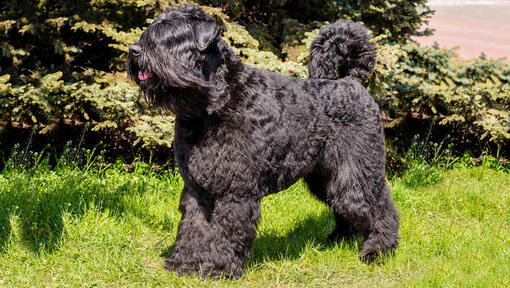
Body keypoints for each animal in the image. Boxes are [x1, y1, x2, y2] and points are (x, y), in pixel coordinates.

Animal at [126, 3, 398, 280]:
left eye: (173, 35)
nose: (134, 50)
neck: (213, 103)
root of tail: (352, 80)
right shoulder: (196, 187)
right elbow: (194, 227)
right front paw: (185, 264)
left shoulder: (235, 189)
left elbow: (225, 229)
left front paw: (220, 268)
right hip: (327, 176)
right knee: (343, 204)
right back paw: (339, 239)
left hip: (357, 170)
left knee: (379, 206)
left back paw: (378, 251)